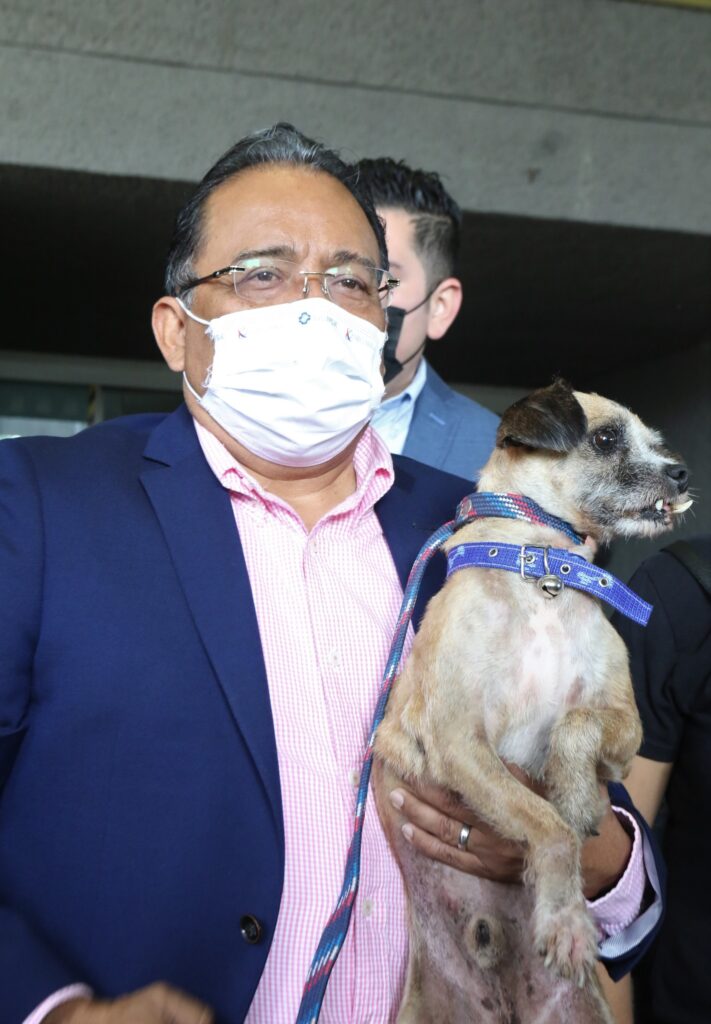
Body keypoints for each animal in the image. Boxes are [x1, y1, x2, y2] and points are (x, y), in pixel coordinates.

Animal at [374, 380, 691, 1024]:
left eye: (656, 440)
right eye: (605, 438)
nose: (683, 472)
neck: (544, 574)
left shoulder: (627, 730)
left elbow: (575, 723)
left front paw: (576, 795)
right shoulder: (457, 743)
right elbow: (549, 828)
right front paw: (566, 917)